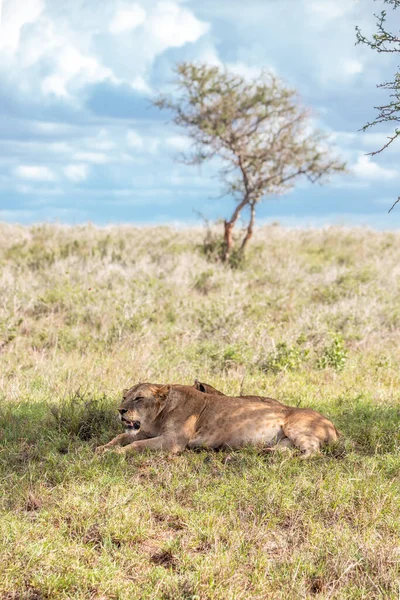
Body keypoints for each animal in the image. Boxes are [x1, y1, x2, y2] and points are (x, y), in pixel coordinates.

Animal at [95, 384, 340, 460]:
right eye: (124, 397)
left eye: (138, 398)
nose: (121, 410)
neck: (157, 417)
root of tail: (333, 425)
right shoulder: (146, 431)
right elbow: (122, 436)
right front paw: (102, 447)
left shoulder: (173, 441)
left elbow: (135, 444)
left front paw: (114, 453)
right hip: (285, 439)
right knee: (287, 448)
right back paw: (264, 453)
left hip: (295, 426)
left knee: (313, 451)